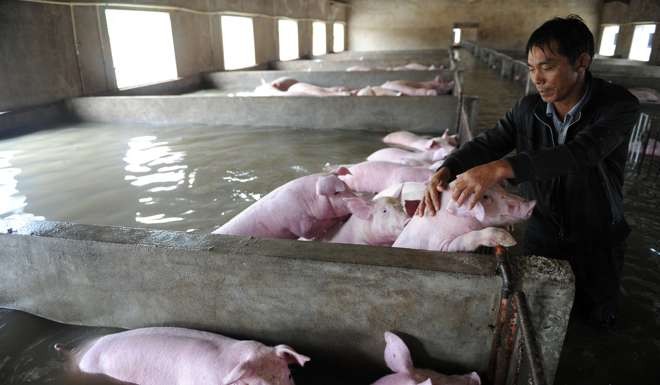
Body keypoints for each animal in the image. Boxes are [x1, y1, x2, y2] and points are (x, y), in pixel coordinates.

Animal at [211, 169, 358, 238]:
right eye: (337, 193)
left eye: (345, 184)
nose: (357, 198)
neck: (307, 200)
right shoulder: (299, 223)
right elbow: (308, 232)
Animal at [392, 183, 536, 252]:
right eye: (485, 197)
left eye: (501, 188)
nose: (532, 204)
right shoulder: (438, 244)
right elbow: (463, 240)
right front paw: (510, 241)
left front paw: (509, 229)